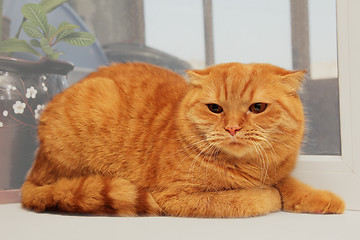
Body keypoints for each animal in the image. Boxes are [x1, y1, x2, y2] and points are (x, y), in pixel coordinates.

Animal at [21, 62, 344, 218]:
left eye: (257, 108)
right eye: (215, 108)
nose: (232, 128)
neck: (250, 169)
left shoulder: (278, 170)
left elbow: (290, 184)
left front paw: (320, 199)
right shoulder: (175, 196)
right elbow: (250, 199)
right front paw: (268, 195)